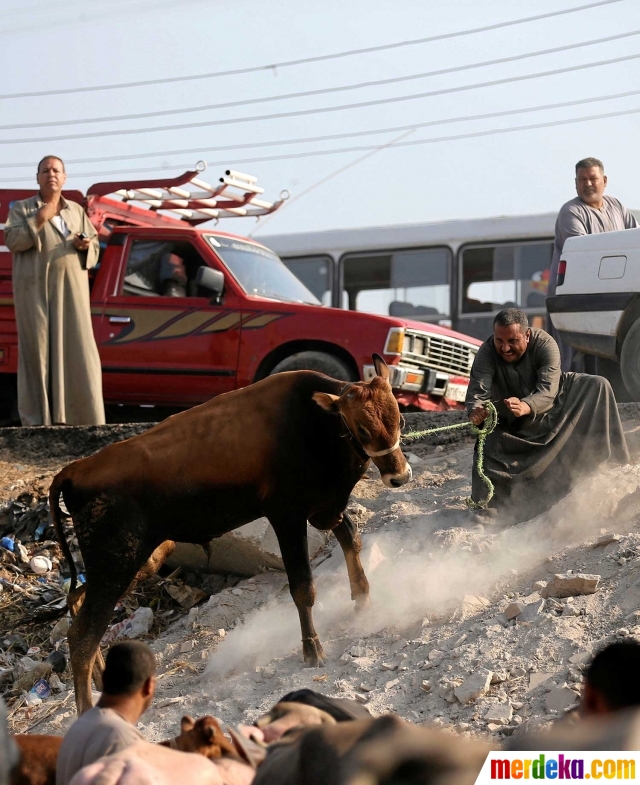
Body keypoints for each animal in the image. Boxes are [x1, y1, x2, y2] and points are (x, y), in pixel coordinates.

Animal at [50, 358, 410, 712]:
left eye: (400, 420)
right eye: (362, 429)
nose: (399, 476)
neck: (316, 424)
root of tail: (73, 471)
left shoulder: (325, 509)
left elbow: (352, 539)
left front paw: (363, 600)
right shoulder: (288, 517)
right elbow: (303, 587)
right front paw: (313, 650)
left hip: (135, 564)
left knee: (77, 601)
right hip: (116, 568)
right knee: (82, 637)